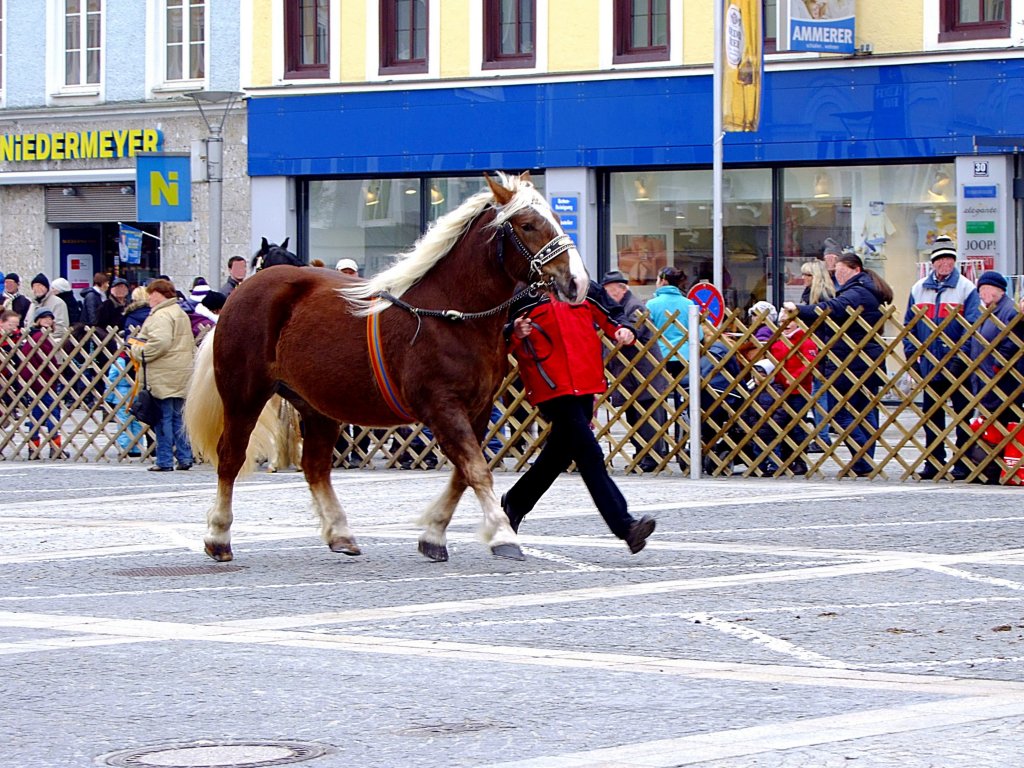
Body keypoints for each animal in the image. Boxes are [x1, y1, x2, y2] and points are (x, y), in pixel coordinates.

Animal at [180, 177, 589, 569]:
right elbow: (475, 470)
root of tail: (240, 294)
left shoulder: (478, 409)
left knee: (315, 466)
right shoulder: (442, 407)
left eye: (555, 217)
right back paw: (218, 537)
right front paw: (503, 536)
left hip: (317, 405)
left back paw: (340, 534)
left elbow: (463, 473)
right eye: (527, 224)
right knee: (231, 457)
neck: (450, 314)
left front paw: (433, 534)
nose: (578, 282)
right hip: (244, 395)